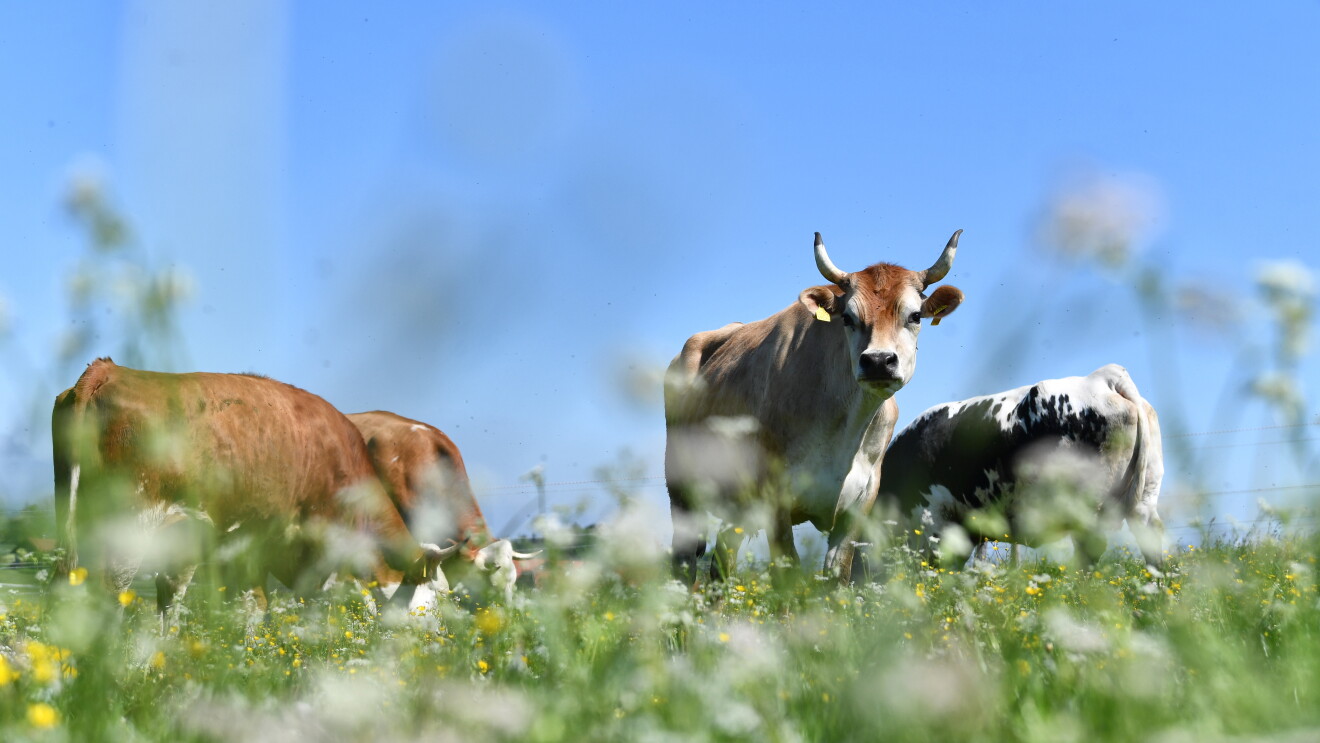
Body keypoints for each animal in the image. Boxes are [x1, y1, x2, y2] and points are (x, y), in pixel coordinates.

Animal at [52, 358, 449, 614]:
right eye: (432, 605)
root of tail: (109, 369)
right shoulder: (324, 551)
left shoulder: (246, 551)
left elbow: (252, 608)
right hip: (132, 522)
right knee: (110, 593)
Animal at [665, 230, 966, 584]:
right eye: (848, 317)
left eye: (915, 316)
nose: (878, 361)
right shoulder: (775, 499)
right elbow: (790, 576)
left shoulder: (859, 505)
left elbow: (838, 577)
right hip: (681, 493)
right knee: (684, 563)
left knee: (721, 566)